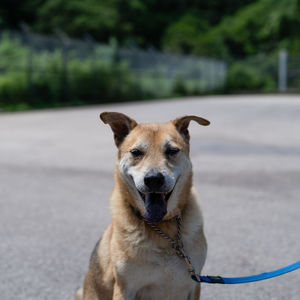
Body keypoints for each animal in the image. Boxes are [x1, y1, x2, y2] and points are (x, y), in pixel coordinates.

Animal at [76, 111, 210, 298]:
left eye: (172, 151)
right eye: (136, 152)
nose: (153, 179)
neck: (162, 228)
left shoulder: (194, 284)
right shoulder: (124, 289)